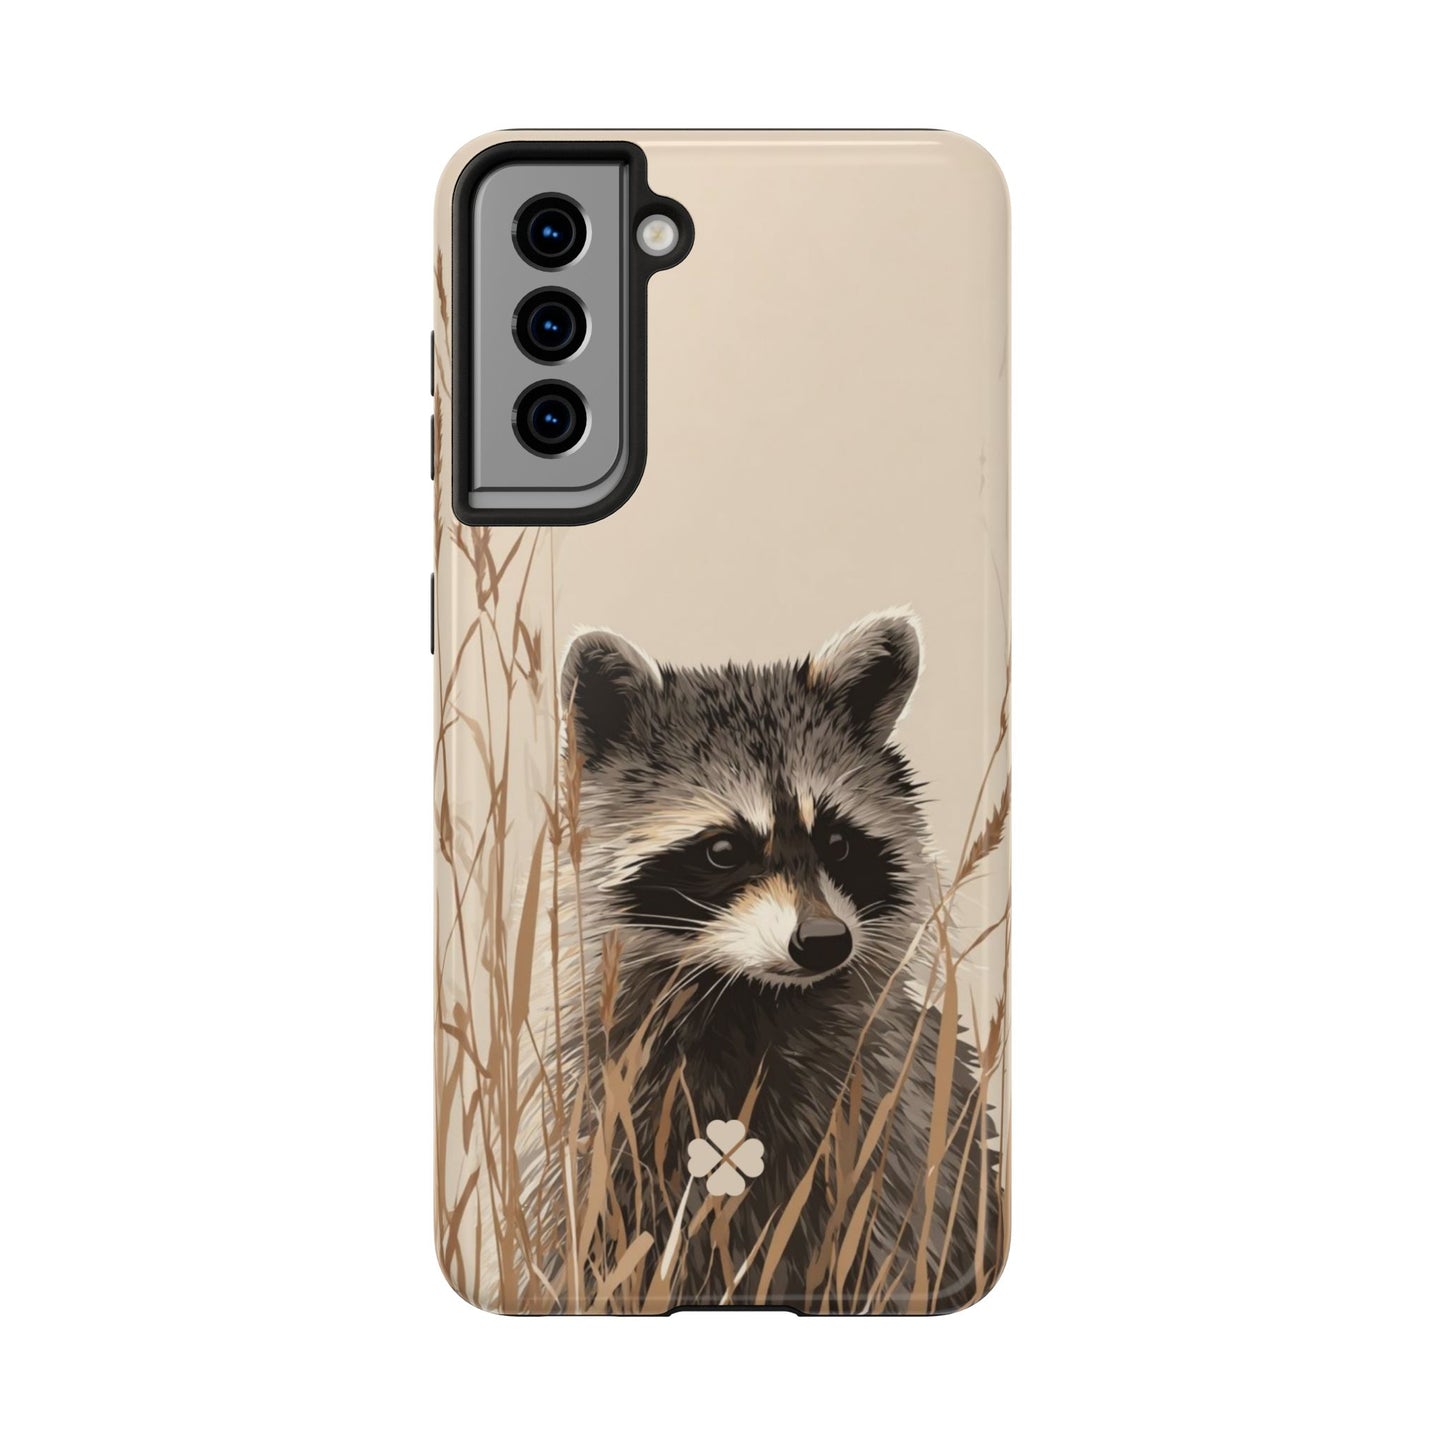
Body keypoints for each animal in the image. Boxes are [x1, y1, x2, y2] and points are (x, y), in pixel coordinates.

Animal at [553, 610, 995, 1308]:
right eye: (723, 850)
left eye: (837, 842)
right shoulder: (612, 1102)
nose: (824, 940)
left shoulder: (895, 1115)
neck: (748, 997)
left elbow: (897, 1233)